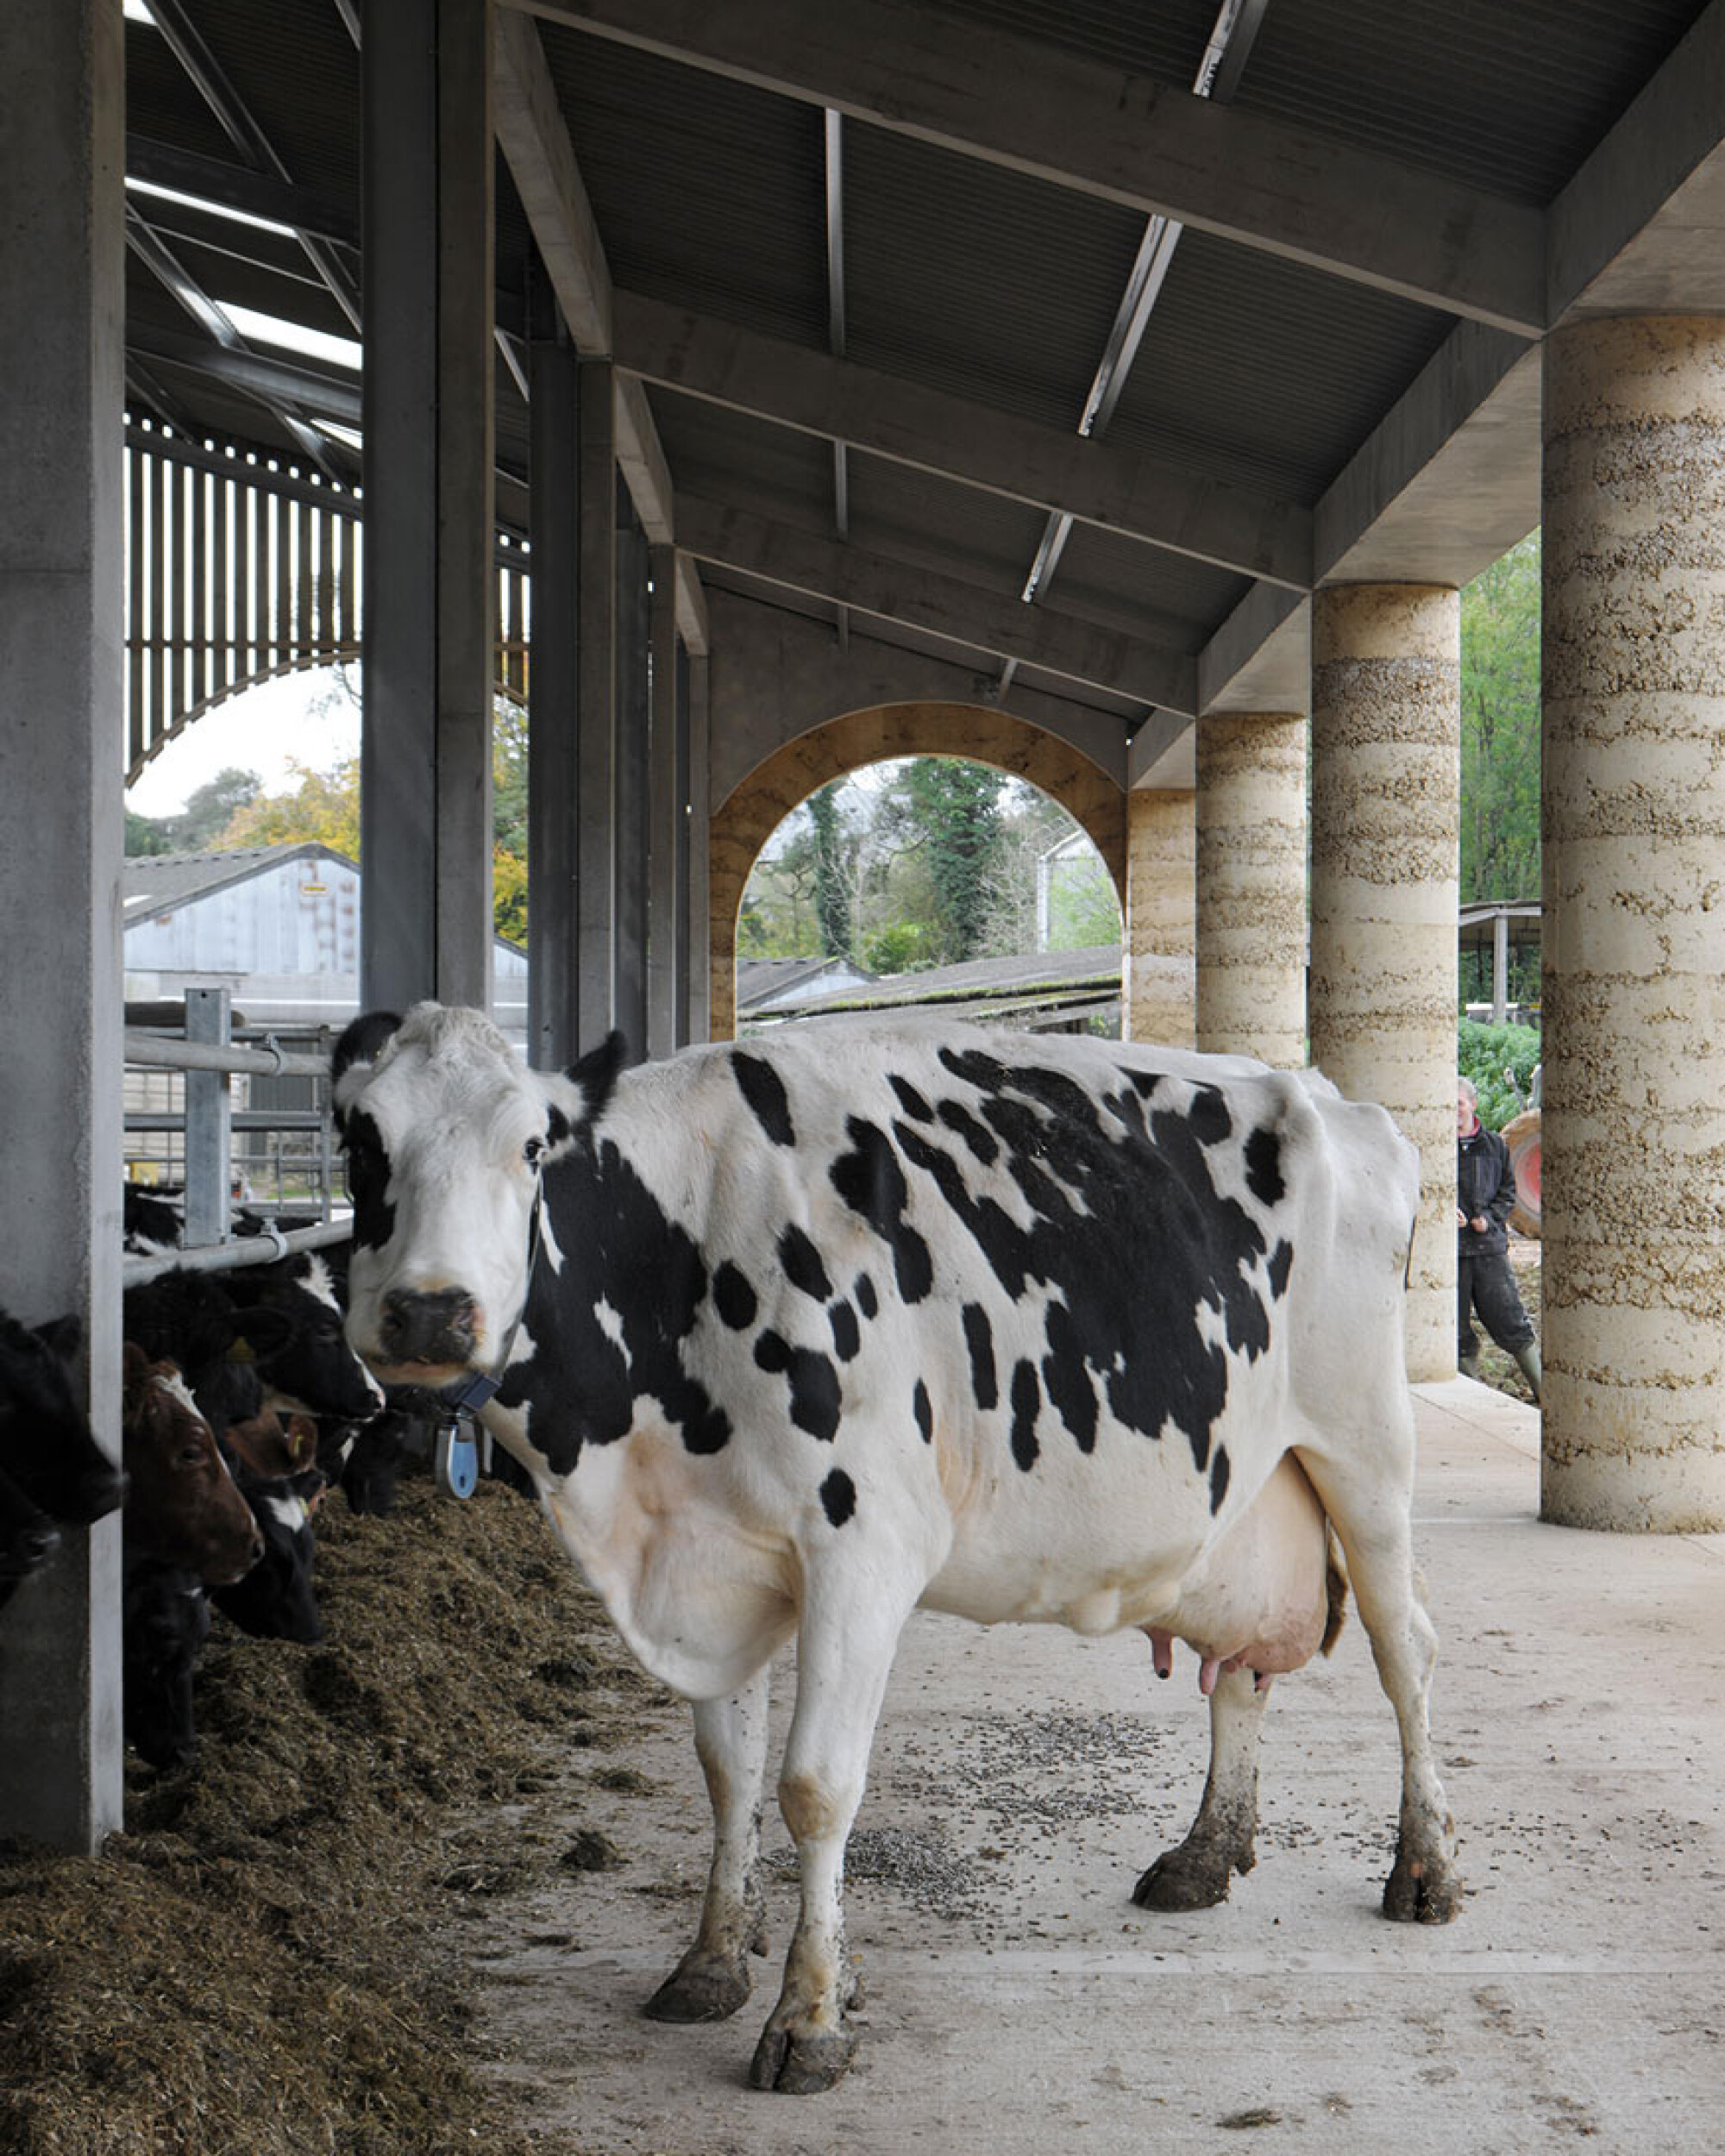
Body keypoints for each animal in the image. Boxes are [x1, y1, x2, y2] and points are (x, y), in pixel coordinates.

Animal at [332, 1003, 1461, 2094]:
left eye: (530, 1145)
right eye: (359, 1138)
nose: (429, 1310)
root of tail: (1332, 1096)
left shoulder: (861, 1549)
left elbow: (813, 1785)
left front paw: (808, 2018)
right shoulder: (710, 1558)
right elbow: (727, 1772)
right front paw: (711, 1960)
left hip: (1364, 1447)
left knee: (1404, 1646)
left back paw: (1422, 1871)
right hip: (1248, 1494)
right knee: (1239, 1671)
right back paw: (1203, 1851)